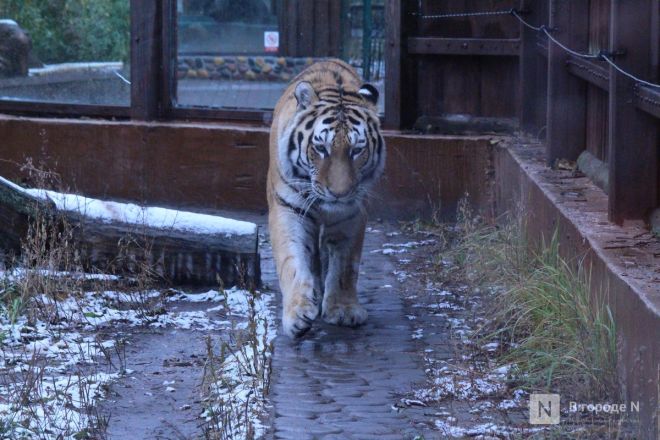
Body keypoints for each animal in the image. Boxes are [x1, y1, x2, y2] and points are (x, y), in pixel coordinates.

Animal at [266, 60, 384, 338]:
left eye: (357, 150)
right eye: (321, 148)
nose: (339, 193)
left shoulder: (351, 216)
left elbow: (345, 266)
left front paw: (343, 310)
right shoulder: (288, 210)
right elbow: (292, 260)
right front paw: (297, 313)